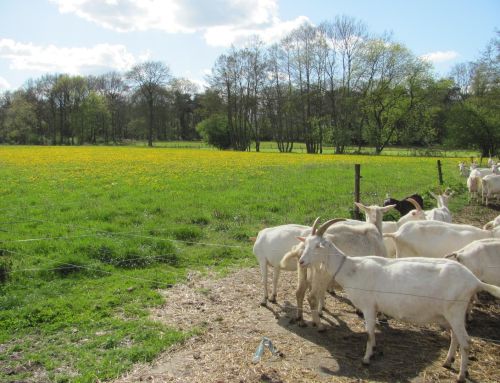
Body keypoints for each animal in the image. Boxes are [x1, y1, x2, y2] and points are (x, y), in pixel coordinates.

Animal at [294, 218, 500, 382]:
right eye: (306, 244)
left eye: (317, 246)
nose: (301, 261)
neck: (352, 268)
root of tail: (473, 280)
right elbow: (372, 333)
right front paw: (373, 350)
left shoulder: (369, 306)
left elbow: (369, 333)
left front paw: (366, 358)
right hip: (450, 314)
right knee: (455, 337)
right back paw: (448, 362)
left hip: (455, 311)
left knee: (465, 341)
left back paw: (461, 375)